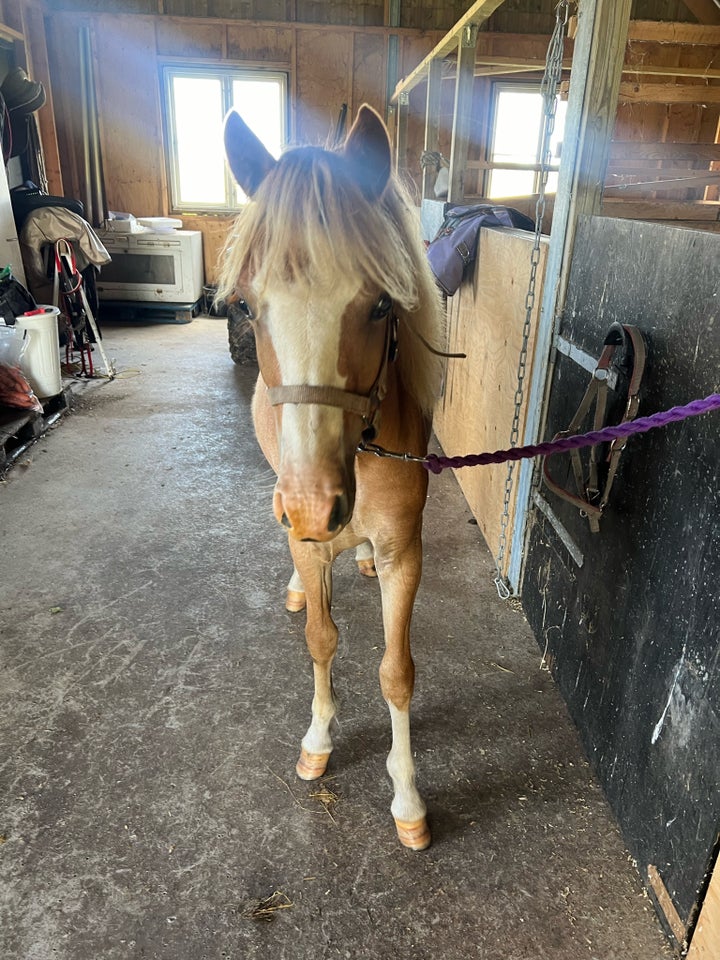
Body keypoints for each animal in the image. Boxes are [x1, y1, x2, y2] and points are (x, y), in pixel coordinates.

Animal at [218, 103, 444, 848]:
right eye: (247, 306)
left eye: (380, 305)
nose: (316, 509)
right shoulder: (307, 539)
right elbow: (322, 639)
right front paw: (318, 740)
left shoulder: (406, 553)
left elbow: (397, 672)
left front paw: (407, 796)